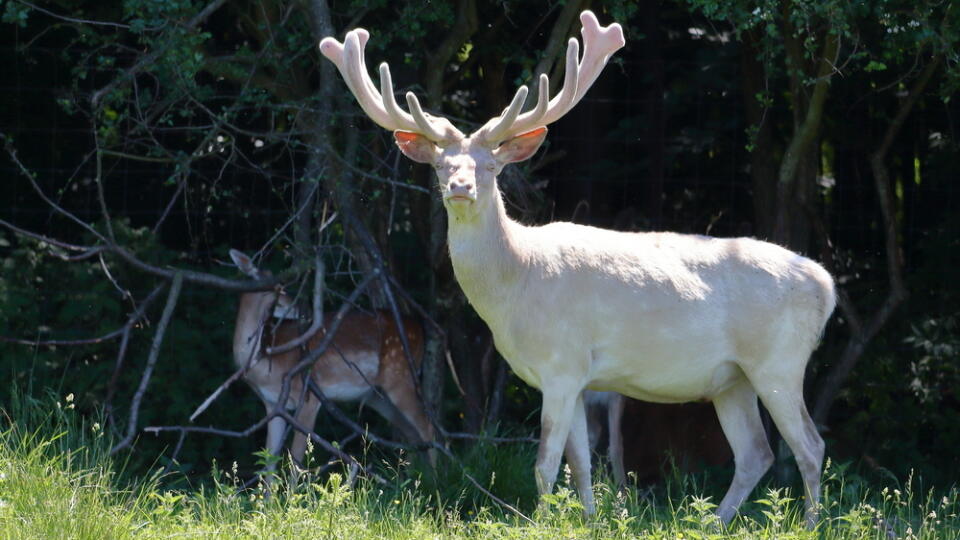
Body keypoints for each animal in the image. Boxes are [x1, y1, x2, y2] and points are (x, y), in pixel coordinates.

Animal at [229, 250, 432, 476]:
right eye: (278, 287)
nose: (304, 310)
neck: (267, 366)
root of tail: (420, 329)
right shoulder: (272, 404)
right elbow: (269, 462)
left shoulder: (308, 396)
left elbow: (296, 461)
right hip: (377, 396)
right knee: (412, 433)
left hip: (400, 375)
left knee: (428, 428)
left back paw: (438, 476)